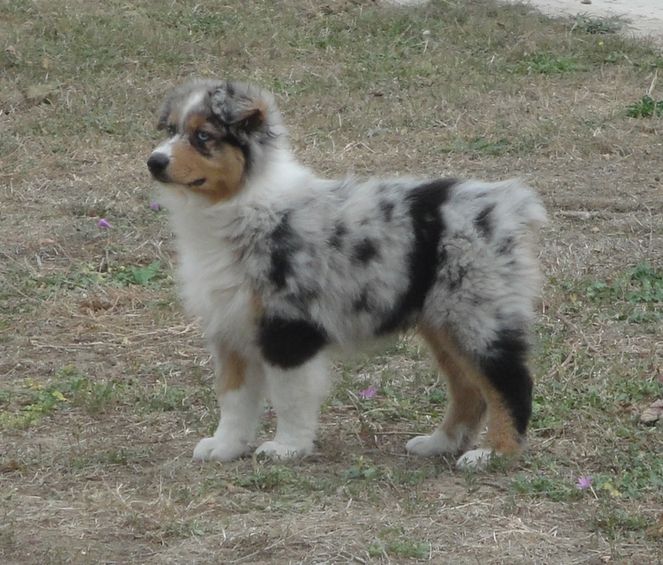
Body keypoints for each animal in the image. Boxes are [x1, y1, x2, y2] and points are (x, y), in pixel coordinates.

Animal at [148, 78, 548, 468]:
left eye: (203, 136)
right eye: (170, 130)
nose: (154, 162)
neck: (238, 206)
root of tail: (507, 203)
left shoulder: (288, 329)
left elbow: (289, 396)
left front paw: (287, 448)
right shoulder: (230, 325)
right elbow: (233, 398)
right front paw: (226, 446)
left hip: (476, 313)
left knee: (510, 382)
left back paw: (496, 454)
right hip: (444, 320)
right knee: (469, 389)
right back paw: (441, 443)